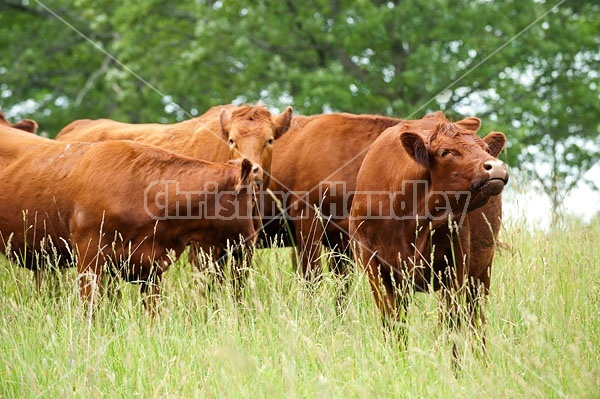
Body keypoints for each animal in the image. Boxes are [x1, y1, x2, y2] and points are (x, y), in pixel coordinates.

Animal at [346, 115, 506, 346]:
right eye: (446, 151)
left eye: (485, 148)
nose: (496, 167)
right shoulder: (376, 267)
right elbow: (393, 324)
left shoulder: (457, 264)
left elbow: (453, 325)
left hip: (481, 272)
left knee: (475, 321)